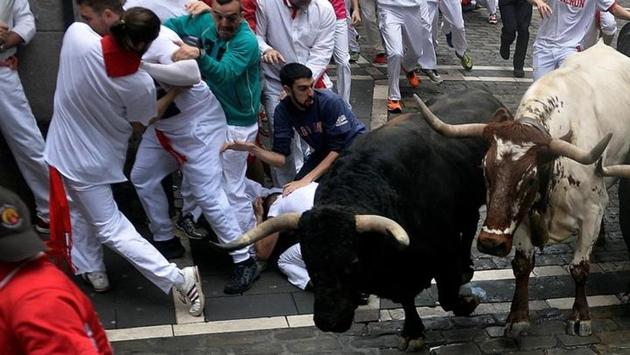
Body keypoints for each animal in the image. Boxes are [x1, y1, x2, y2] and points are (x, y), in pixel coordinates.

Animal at [298, 89, 506, 350]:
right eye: (307, 258)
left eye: (353, 261)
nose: (328, 321)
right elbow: (407, 299)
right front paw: (413, 331)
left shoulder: (444, 252)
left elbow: (447, 297)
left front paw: (468, 302)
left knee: (469, 228)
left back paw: (466, 266)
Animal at [418, 40, 630, 338]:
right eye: (484, 169)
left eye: (530, 178)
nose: (490, 243)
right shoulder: (520, 218)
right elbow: (522, 266)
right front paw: (517, 317)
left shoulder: (591, 212)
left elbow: (580, 268)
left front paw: (580, 316)